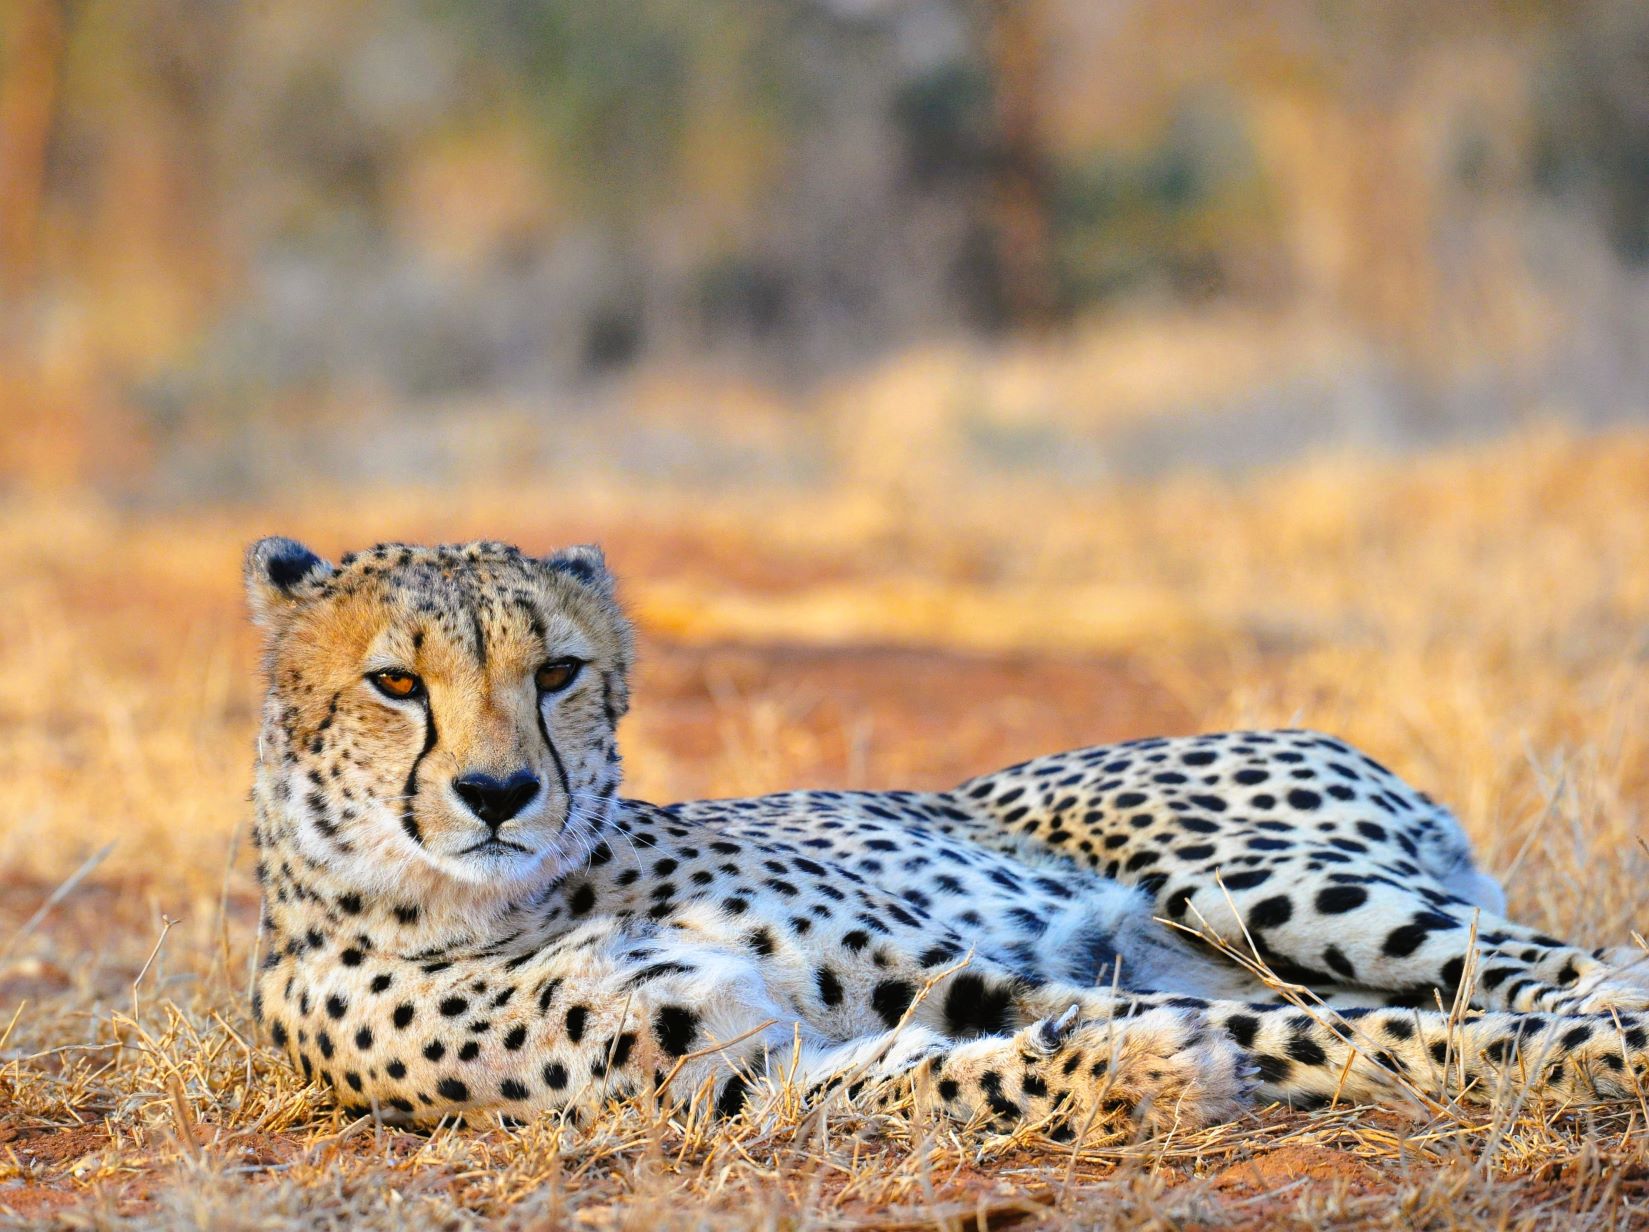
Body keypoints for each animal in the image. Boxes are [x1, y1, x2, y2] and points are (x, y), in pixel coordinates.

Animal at [245, 536, 1649, 1138]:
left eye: (556, 672)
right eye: (395, 683)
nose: (496, 792)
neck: (502, 899)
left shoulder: (972, 967)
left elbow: (1360, 1031)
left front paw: (1587, 1060)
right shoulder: (738, 1080)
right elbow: (933, 1074)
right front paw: (1131, 1073)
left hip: (1236, 875)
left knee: (1559, 959)